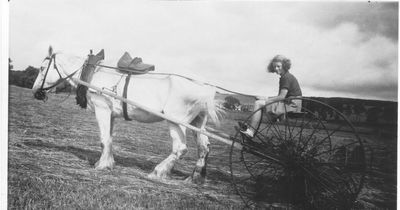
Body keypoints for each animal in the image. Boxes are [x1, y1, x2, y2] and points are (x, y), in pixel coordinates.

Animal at [32, 46, 222, 183]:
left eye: (42, 68)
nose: (35, 92)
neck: (93, 73)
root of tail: (207, 86)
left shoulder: (102, 108)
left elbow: (103, 139)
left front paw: (102, 166)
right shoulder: (110, 114)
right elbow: (109, 139)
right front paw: (107, 162)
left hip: (176, 122)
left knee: (180, 148)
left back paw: (158, 172)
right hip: (197, 122)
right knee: (204, 147)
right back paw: (195, 177)